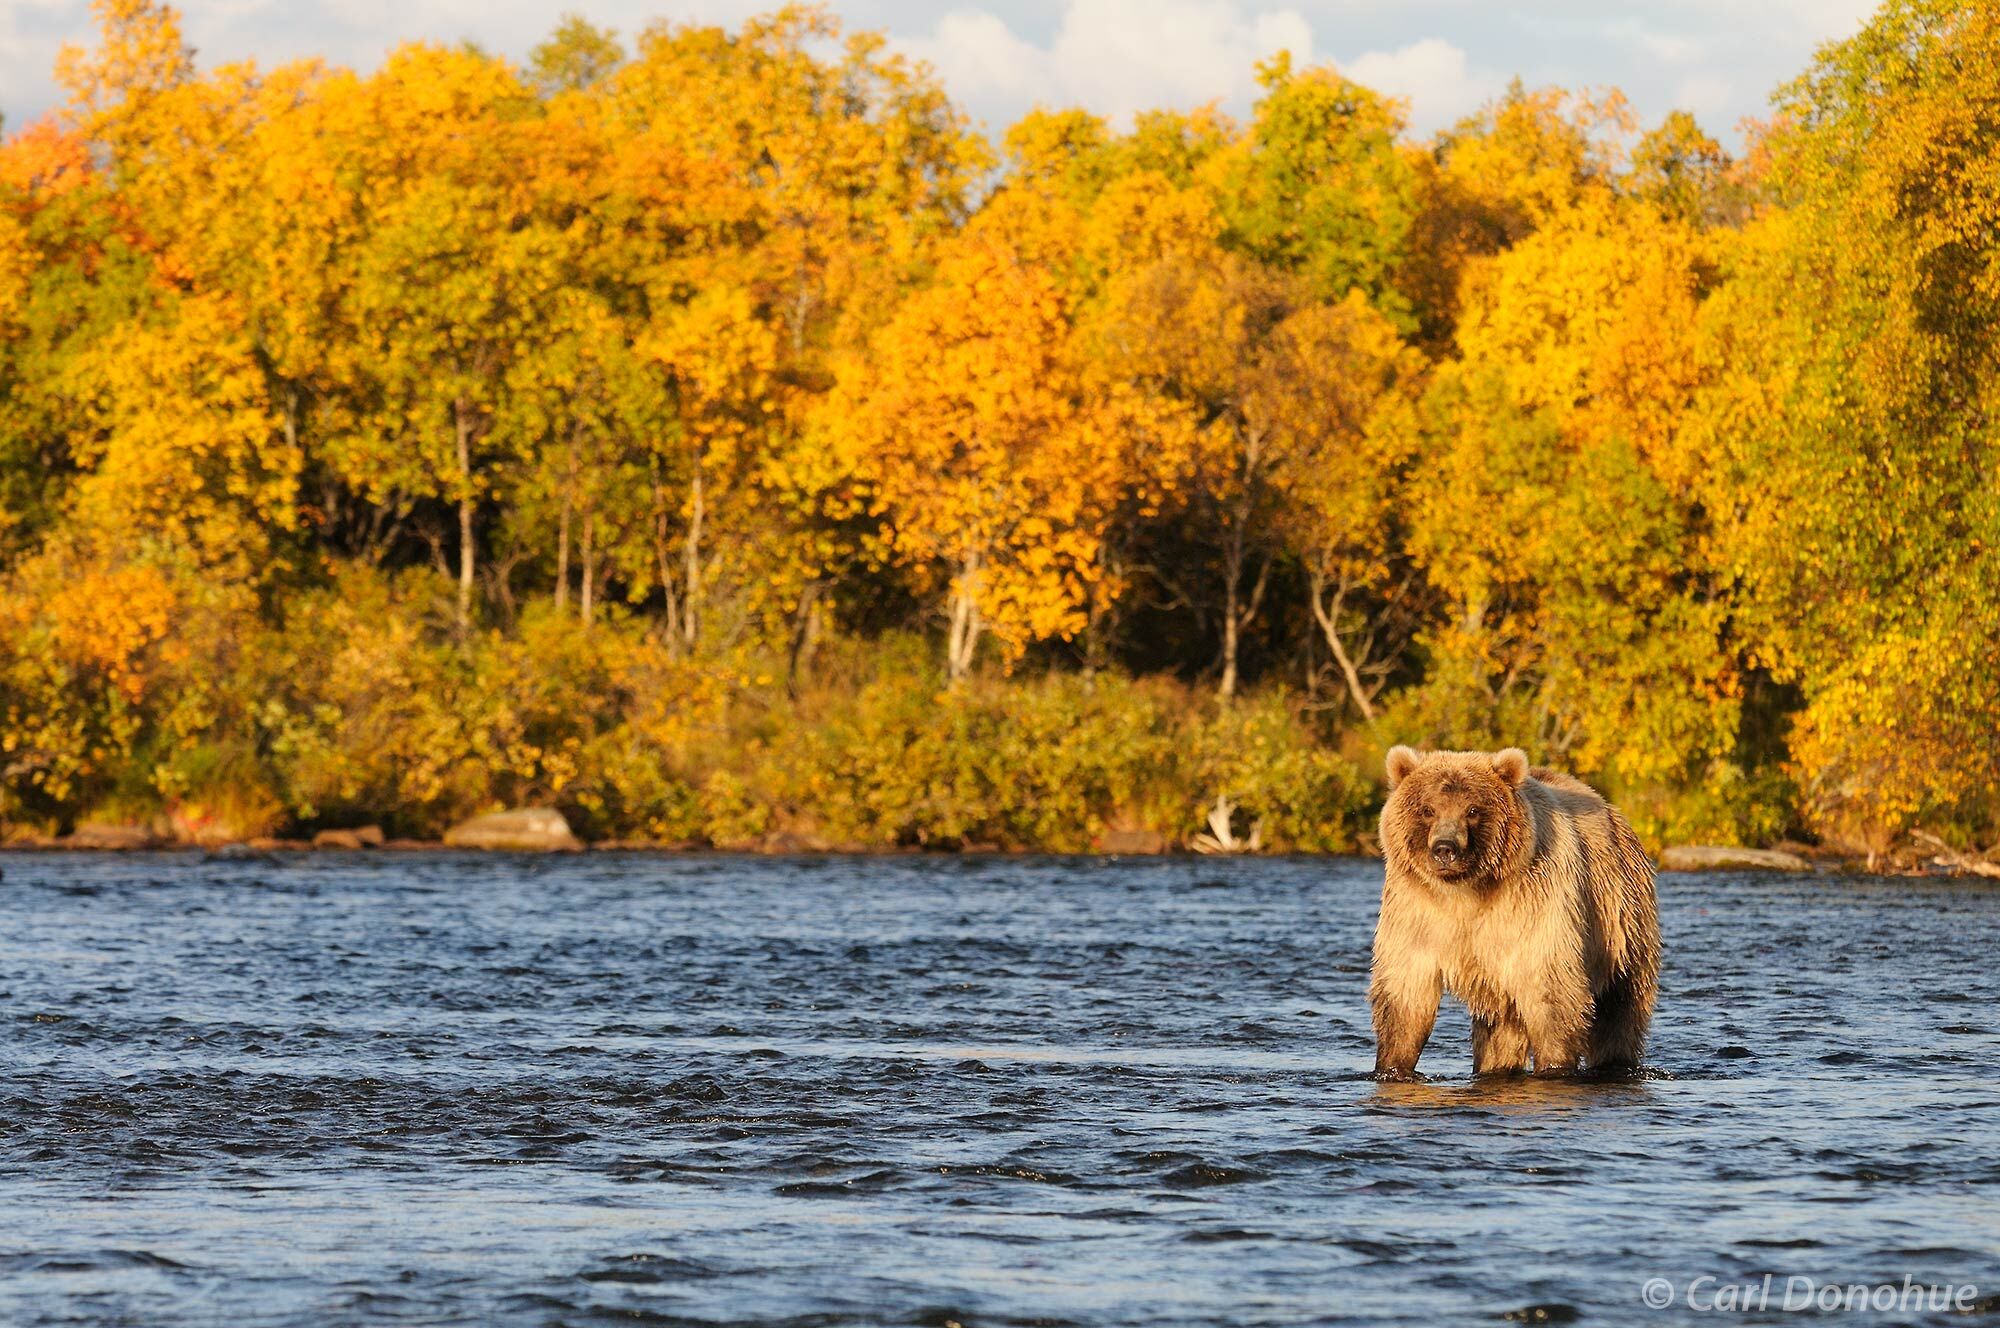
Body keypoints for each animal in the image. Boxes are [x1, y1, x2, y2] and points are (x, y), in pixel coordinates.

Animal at [1368, 748, 1664, 1080]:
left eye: (1472, 809)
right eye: (1428, 809)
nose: (1445, 848)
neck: (1467, 893)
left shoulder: (1532, 905)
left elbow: (1551, 986)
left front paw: (1554, 1067)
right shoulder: (1416, 910)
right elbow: (1406, 989)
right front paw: (1393, 1067)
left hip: (1620, 918)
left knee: (1621, 1005)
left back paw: (1616, 1062)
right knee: (1501, 1028)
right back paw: (1496, 1067)